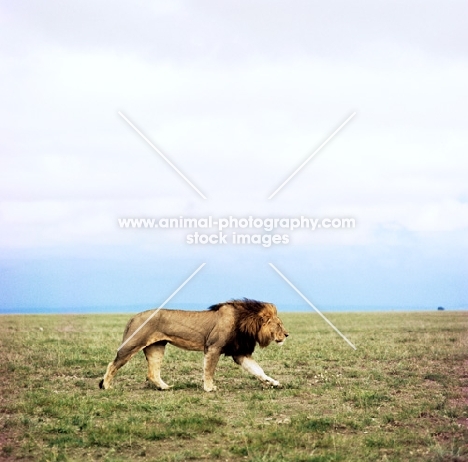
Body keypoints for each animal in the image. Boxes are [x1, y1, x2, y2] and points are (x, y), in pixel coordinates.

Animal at [100, 298, 288, 392]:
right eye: (279, 325)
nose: (287, 335)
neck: (246, 323)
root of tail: (133, 317)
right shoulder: (213, 347)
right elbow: (209, 370)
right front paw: (209, 388)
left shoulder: (240, 353)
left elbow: (258, 371)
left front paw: (274, 383)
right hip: (132, 344)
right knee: (112, 364)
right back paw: (107, 386)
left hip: (157, 347)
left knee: (153, 373)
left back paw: (165, 387)